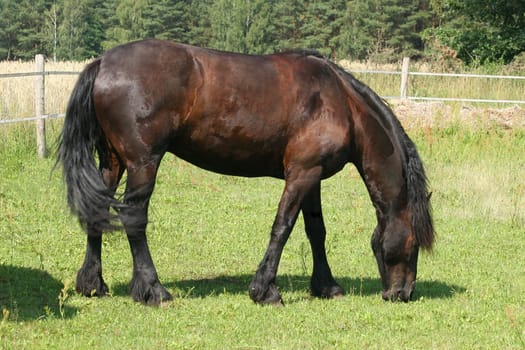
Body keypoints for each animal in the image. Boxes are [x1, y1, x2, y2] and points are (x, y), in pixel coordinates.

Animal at [58, 39, 434, 306]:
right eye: (413, 243)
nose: (402, 294)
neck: (341, 102)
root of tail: (103, 63)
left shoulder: (311, 177)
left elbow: (316, 231)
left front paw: (326, 286)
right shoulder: (301, 174)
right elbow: (282, 227)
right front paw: (265, 291)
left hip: (113, 162)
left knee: (97, 213)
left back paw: (92, 285)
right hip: (143, 163)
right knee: (134, 220)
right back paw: (154, 291)